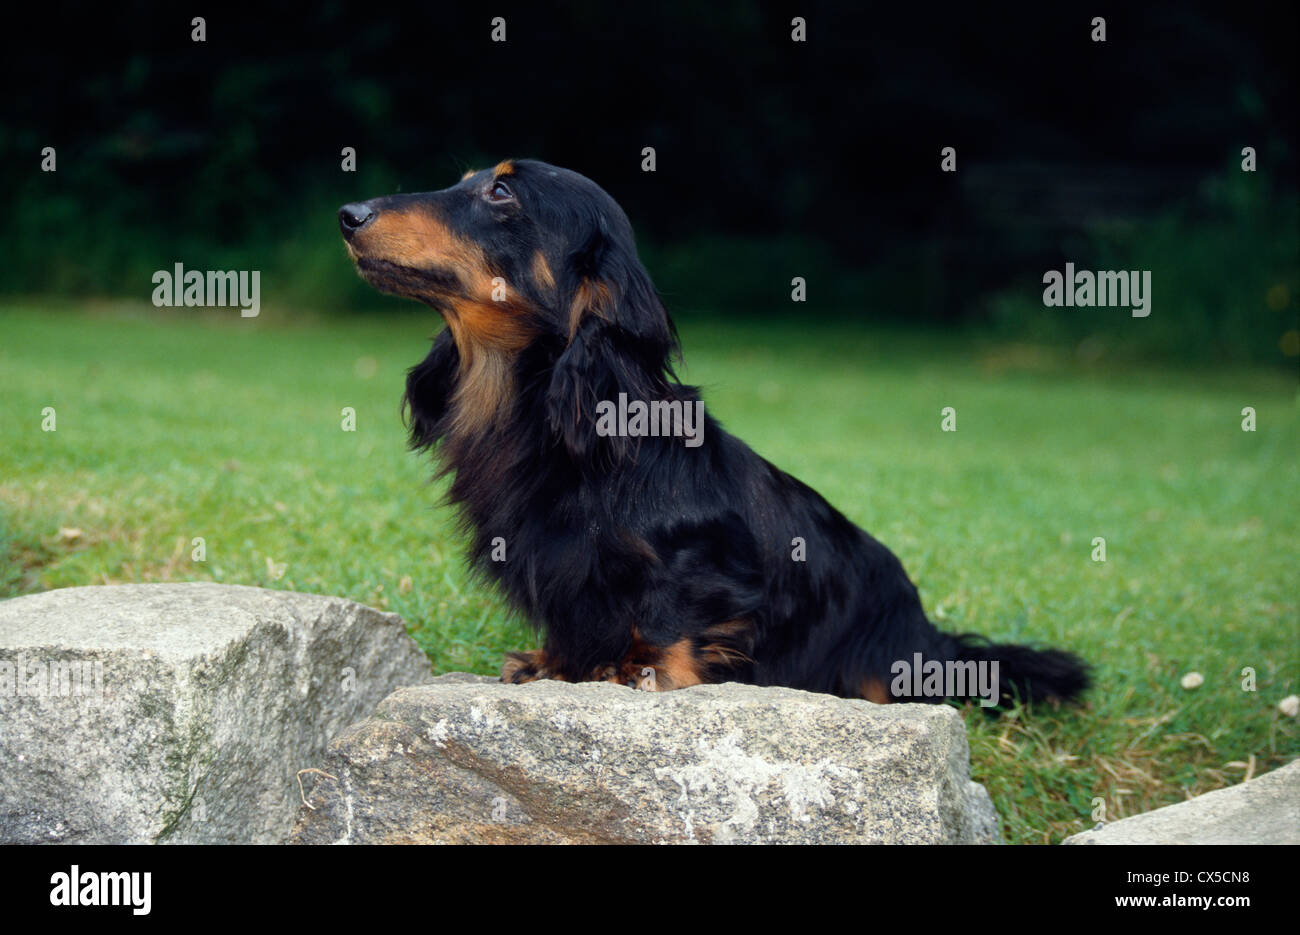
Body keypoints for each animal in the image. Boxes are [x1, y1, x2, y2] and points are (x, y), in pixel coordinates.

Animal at [340, 159, 1092, 707]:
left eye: (500, 191)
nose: (349, 215)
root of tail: (930, 638)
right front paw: (554, 662)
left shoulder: (701, 567)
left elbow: (668, 616)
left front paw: (642, 669)